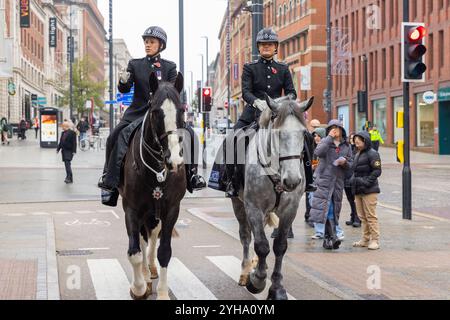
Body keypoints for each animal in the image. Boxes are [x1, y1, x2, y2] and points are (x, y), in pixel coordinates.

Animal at [119, 72, 186, 300]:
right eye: (156, 112)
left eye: (182, 110)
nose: (174, 160)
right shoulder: (131, 208)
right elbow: (134, 252)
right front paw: (139, 287)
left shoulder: (172, 209)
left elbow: (164, 251)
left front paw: (163, 292)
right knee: (140, 240)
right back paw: (146, 276)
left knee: (152, 235)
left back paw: (152, 269)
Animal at [232, 94, 312, 300]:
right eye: (278, 133)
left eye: (303, 133)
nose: (292, 181)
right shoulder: (253, 206)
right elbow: (261, 245)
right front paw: (257, 281)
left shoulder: (290, 209)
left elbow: (279, 246)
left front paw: (276, 288)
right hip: (238, 204)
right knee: (246, 236)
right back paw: (246, 272)